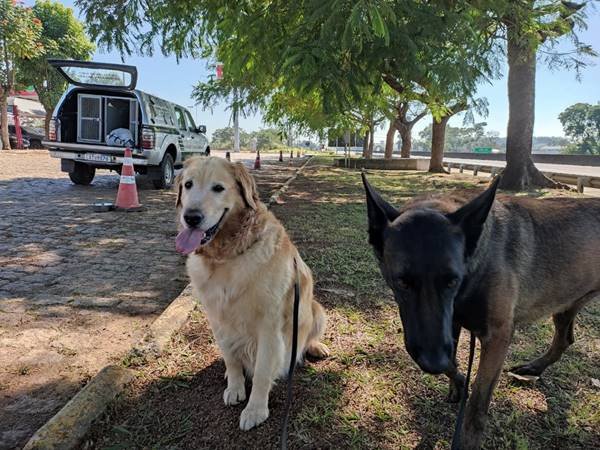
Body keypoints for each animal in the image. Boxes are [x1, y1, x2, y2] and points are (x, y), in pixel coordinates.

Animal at [360, 174, 600, 448]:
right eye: (402, 282)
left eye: (452, 281)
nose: (432, 362)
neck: (474, 267)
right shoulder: (449, 325)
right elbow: (452, 363)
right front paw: (458, 384)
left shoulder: (497, 337)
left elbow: (477, 403)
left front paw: (468, 436)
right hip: (566, 303)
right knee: (564, 339)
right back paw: (534, 368)